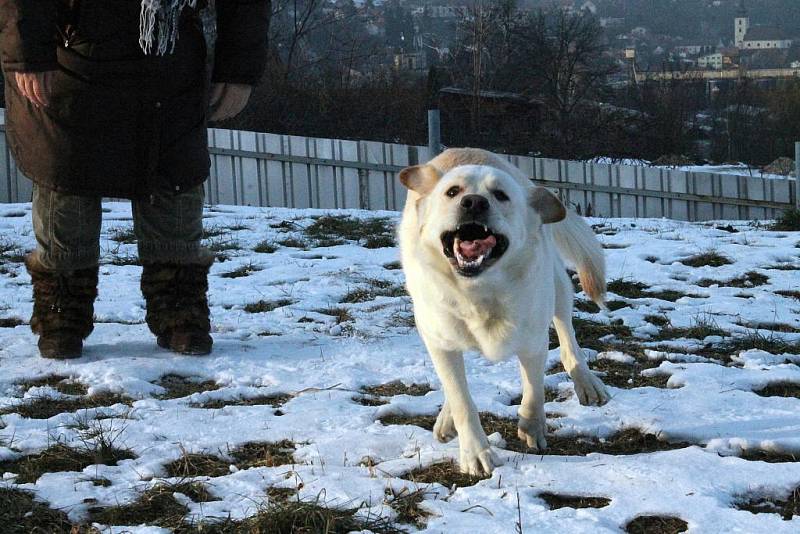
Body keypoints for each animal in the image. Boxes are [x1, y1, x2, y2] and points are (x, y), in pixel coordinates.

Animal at [396, 148, 608, 478]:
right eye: (452, 192)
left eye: (500, 195)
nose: (473, 202)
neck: (480, 291)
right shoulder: (439, 341)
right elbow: (461, 399)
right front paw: (475, 453)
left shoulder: (533, 338)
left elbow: (534, 388)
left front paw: (532, 426)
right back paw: (446, 420)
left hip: (557, 288)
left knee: (568, 337)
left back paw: (586, 382)